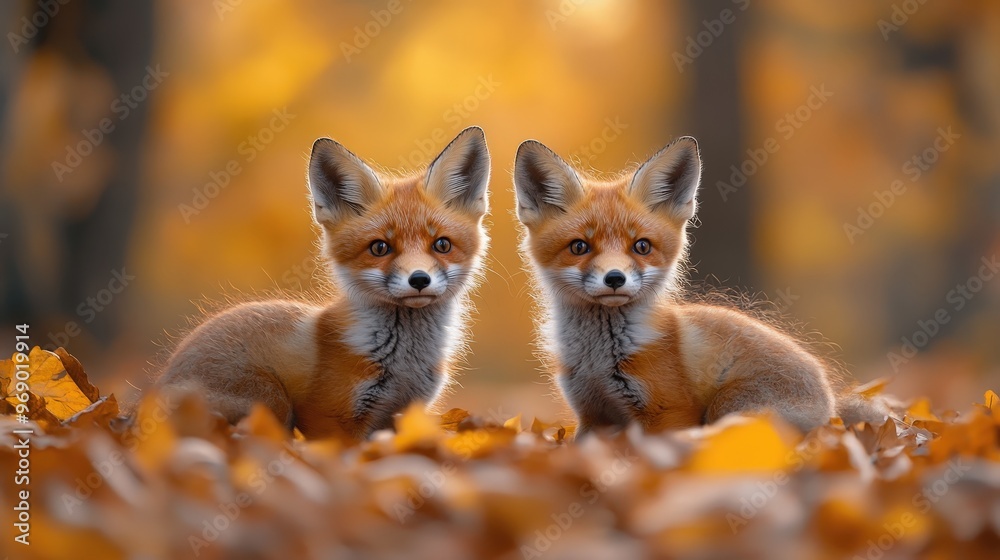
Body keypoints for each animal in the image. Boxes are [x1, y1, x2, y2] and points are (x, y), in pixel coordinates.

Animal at [155, 126, 491, 441]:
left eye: (442, 245)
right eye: (379, 248)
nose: (419, 279)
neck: (405, 363)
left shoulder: (401, 414)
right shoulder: (329, 418)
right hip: (271, 398)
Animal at [513, 136, 887, 435]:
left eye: (642, 246)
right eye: (579, 247)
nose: (615, 278)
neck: (598, 359)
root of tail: (831, 406)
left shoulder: (668, 413)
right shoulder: (592, 414)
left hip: (728, 406)